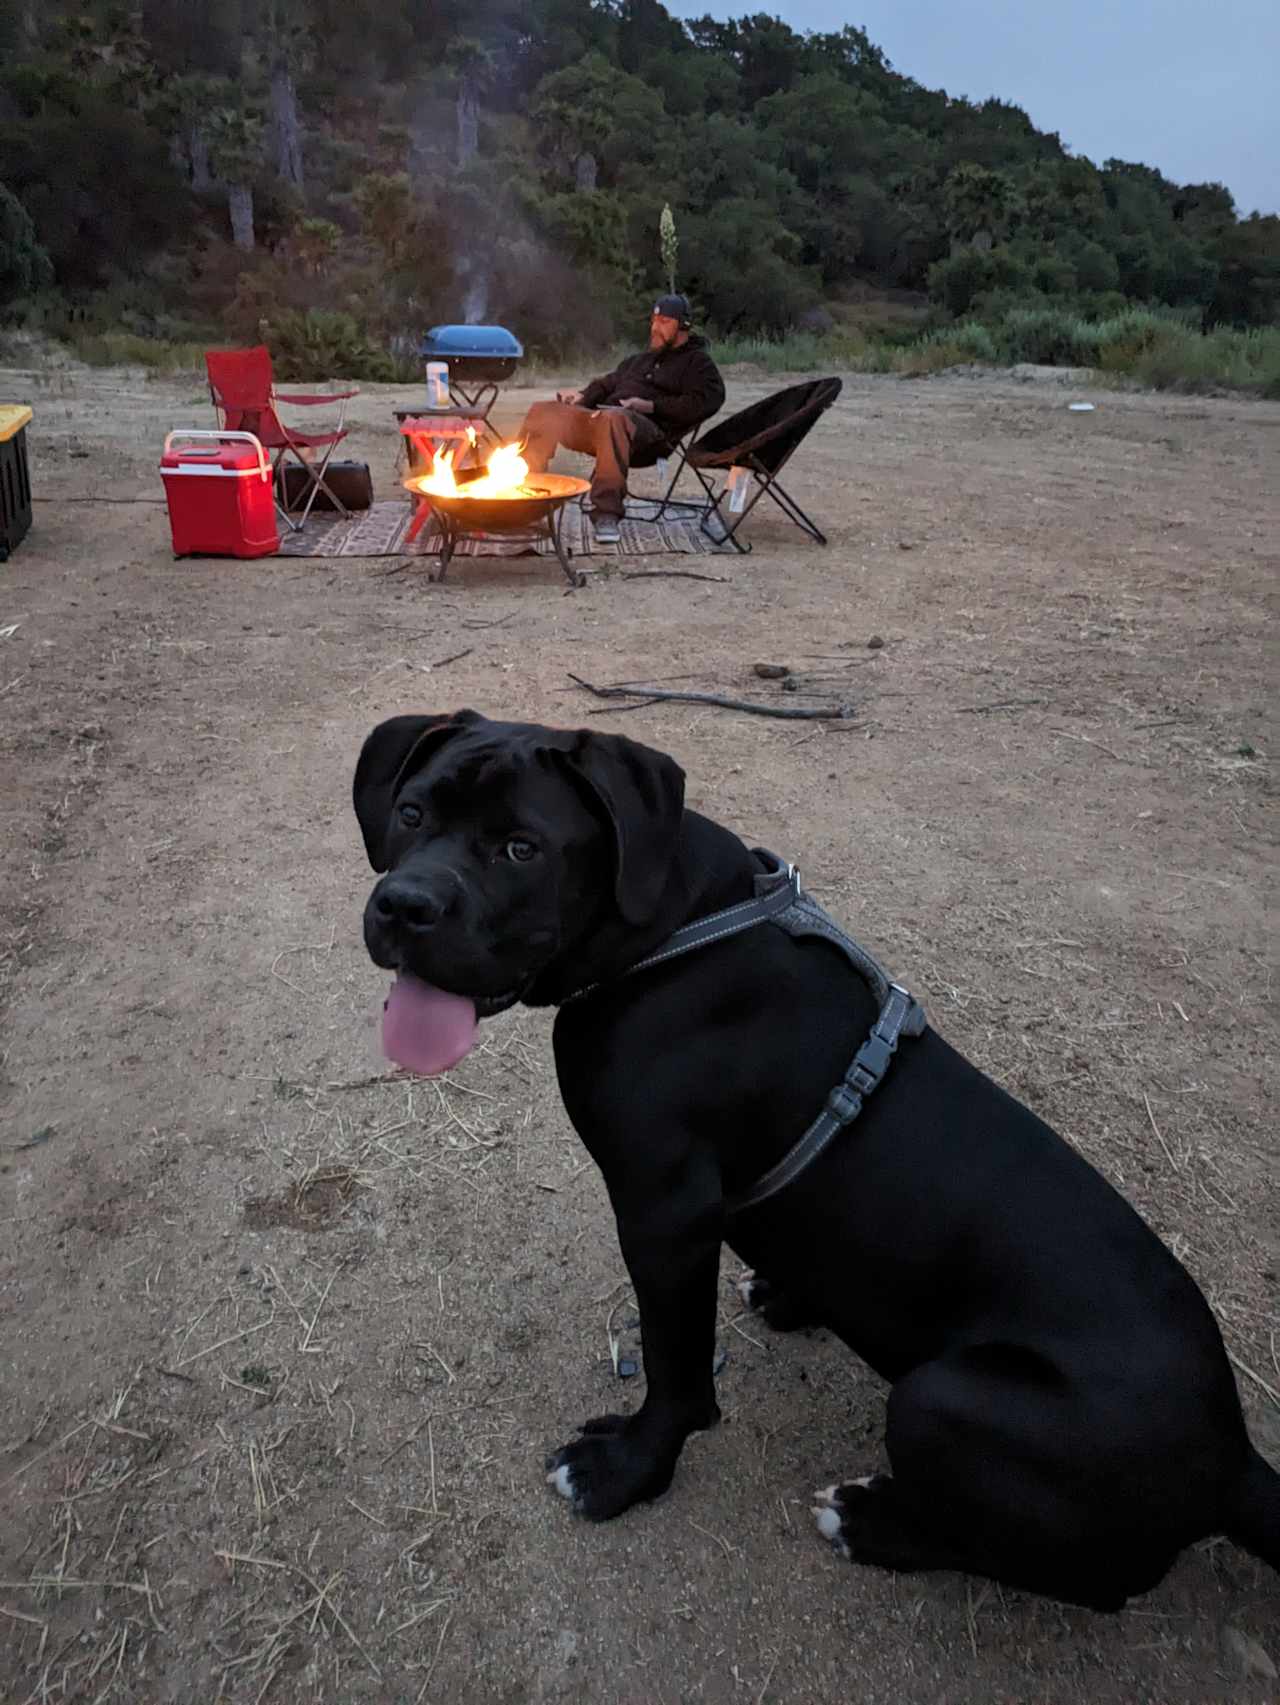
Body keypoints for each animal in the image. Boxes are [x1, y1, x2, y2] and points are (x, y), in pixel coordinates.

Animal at [356, 709, 1280, 1609]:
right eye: (411, 813)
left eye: (523, 847)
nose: (403, 906)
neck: (672, 930)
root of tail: (1234, 1458)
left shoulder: (665, 1214)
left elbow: (675, 1368)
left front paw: (627, 1469)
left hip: (943, 1397)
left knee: (1066, 1576)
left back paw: (869, 1522)